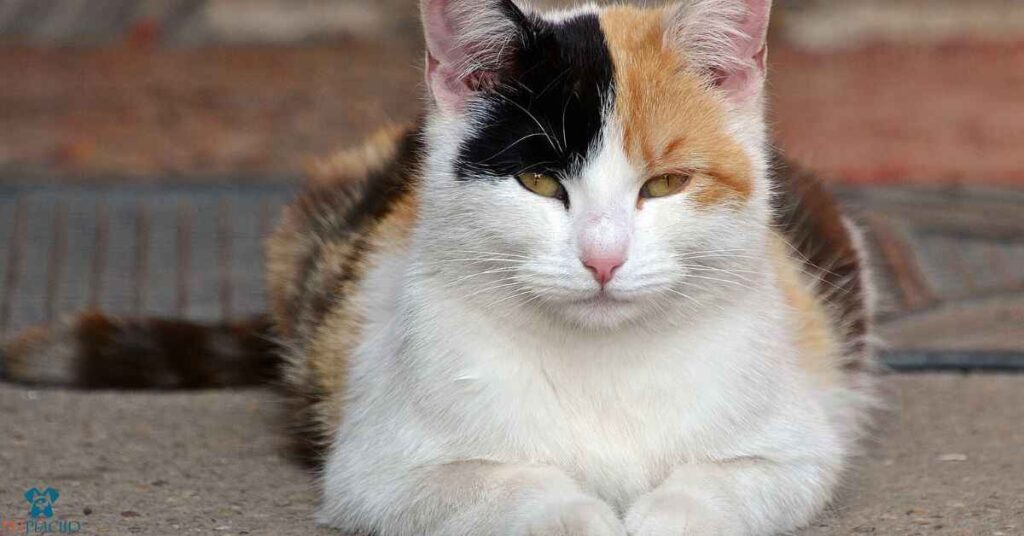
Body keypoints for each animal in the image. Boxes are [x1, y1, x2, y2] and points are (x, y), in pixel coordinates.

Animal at [4, 1, 876, 536]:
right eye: (539, 181)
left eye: (664, 184)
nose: (602, 257)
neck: (603, 369)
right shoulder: (381, 470)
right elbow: (516, 489)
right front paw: (587, 516)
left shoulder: (794, 451)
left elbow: (712, 489)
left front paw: (657, 517)